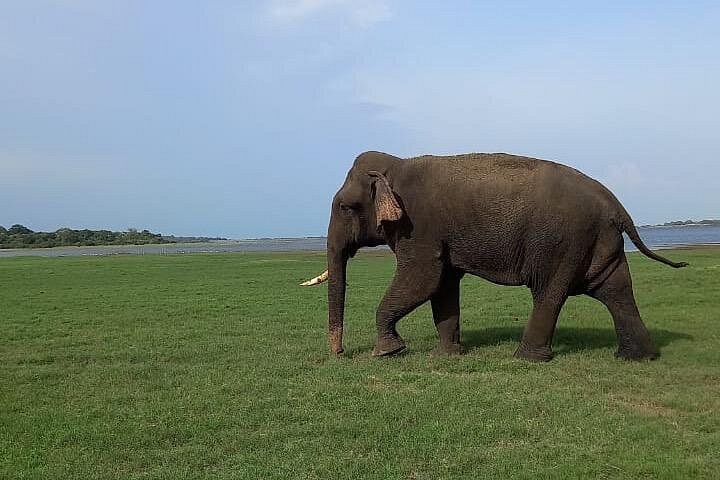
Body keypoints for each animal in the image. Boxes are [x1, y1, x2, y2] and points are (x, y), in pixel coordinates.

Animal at [301, 151, 688, 362]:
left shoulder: (419, 227)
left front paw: (387, 352)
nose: (340, 354)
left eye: (345, 207)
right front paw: (449, 355)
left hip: (562, 242)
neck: (396, 165)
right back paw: (636, 357)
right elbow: (442, 285)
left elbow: (422, 279)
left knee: (549, 291)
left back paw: (527, 359)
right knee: (615, 289)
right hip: (597, 241)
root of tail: (615, 203)